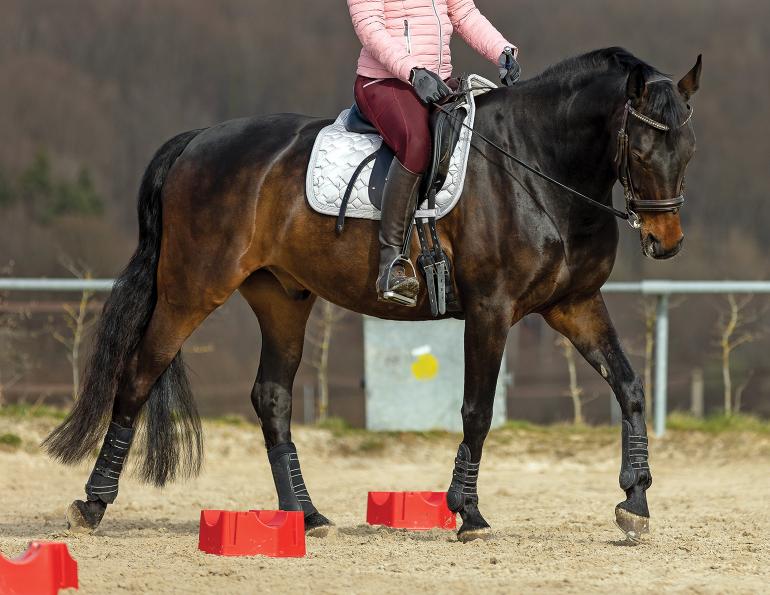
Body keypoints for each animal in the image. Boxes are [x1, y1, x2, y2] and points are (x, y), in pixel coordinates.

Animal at [43, 47, 701, 543]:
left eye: (688, 149)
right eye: (640, 149)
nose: (666, 242)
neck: (535, 168)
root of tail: (198, 140)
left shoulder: (576, 304)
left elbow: (630, 388)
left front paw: (635, 503)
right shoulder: (491, 311)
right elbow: (477, 409)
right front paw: (468, 513)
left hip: (282, 298)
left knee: (272, 398)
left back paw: (305, 515)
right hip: (191, 290)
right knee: (138, 375)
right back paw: (92, 505)